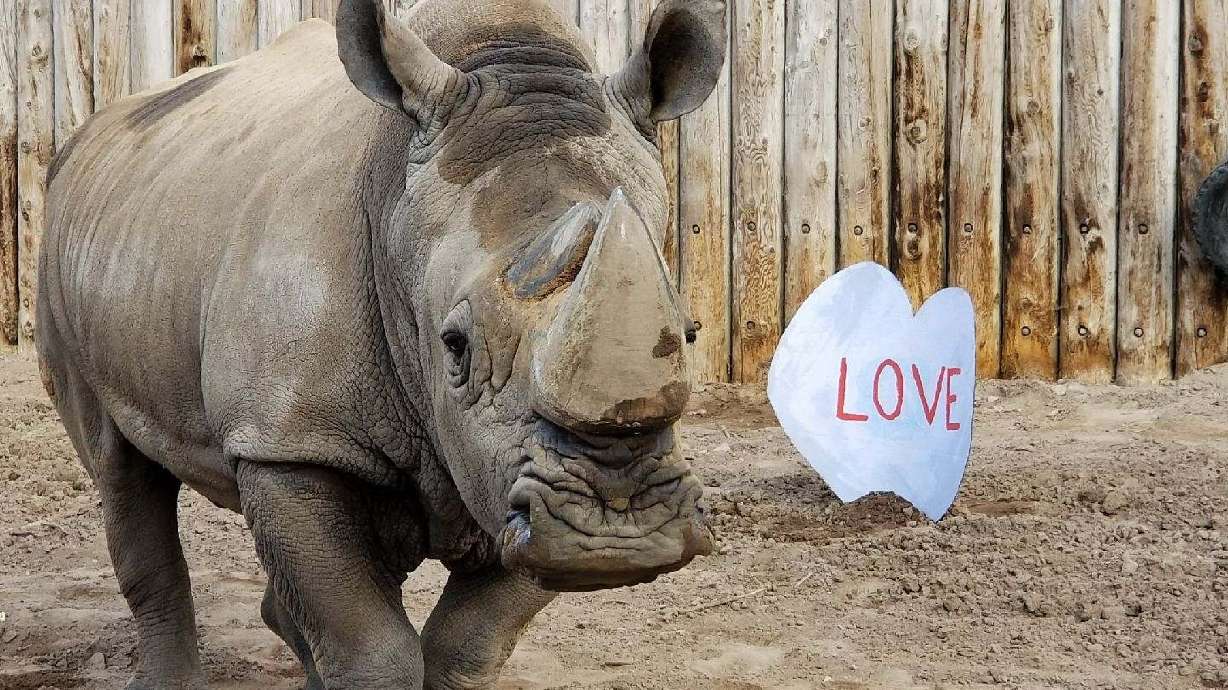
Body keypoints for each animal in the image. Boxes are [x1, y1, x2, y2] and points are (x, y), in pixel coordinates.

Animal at [36, 0, 727, 686]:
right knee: (119, 467)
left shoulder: (515, 482)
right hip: (66, 263)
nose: (619, 534)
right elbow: (370, 648)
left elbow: (469, 643)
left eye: (690, 333)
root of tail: (87, 135)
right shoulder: (289, 440)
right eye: (456, 347)